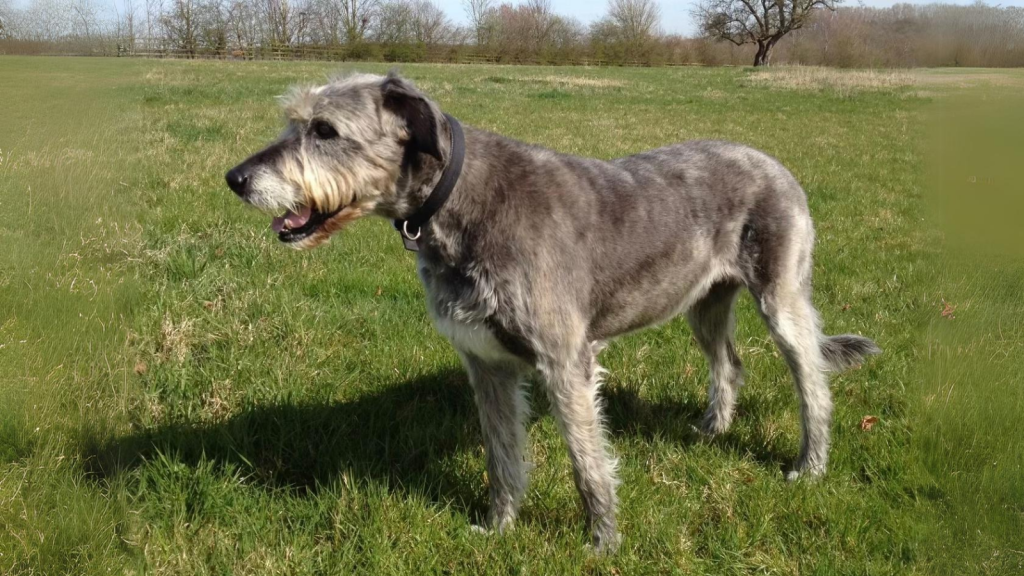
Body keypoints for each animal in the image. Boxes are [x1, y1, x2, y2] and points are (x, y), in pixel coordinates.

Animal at [226, 71, 880, 553]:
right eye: (295, 122)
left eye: (325, 129)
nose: (236, 178)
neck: (460, 203)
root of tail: (776, 164)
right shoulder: (485, 363)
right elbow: (502, 454)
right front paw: (498, 527)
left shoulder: (565, 361)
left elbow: (587, 463)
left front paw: (603, 544)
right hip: (702, 301)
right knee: (729, 363)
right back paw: (711, 429)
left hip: (781, 296)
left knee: (812, 382)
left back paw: (809, 465)